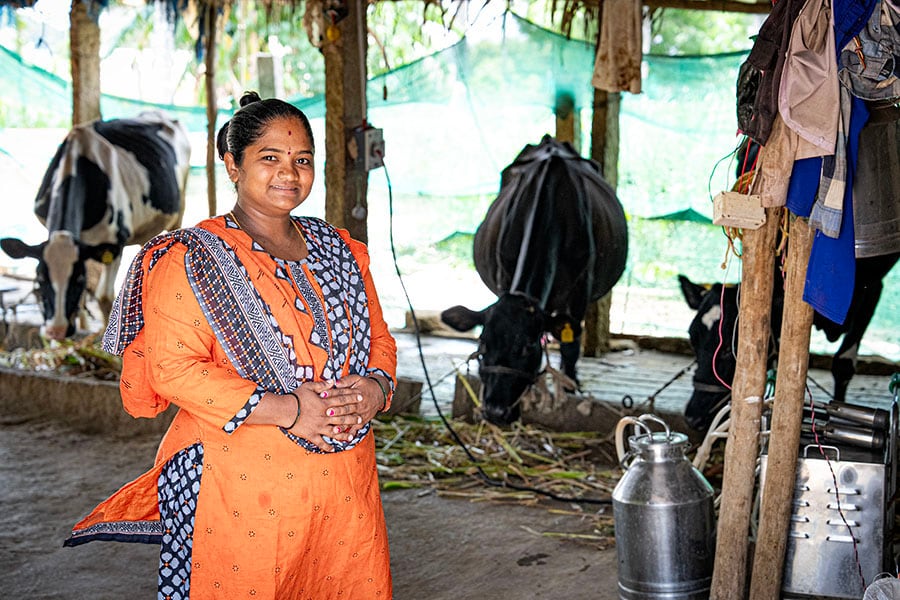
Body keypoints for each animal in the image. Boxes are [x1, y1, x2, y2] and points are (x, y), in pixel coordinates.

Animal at [0, 110, 188, 340]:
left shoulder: (114, 242)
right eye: (41, 278)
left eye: (78, 280)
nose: (57, 330)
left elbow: (104, 297)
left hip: (179, 208)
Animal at [442, 136, 624, 426]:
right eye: (483, 344)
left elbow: (571, 344)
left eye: (528, 348)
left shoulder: (581, 289)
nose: (495, 411)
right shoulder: (504, 275)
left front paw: (569, 386)